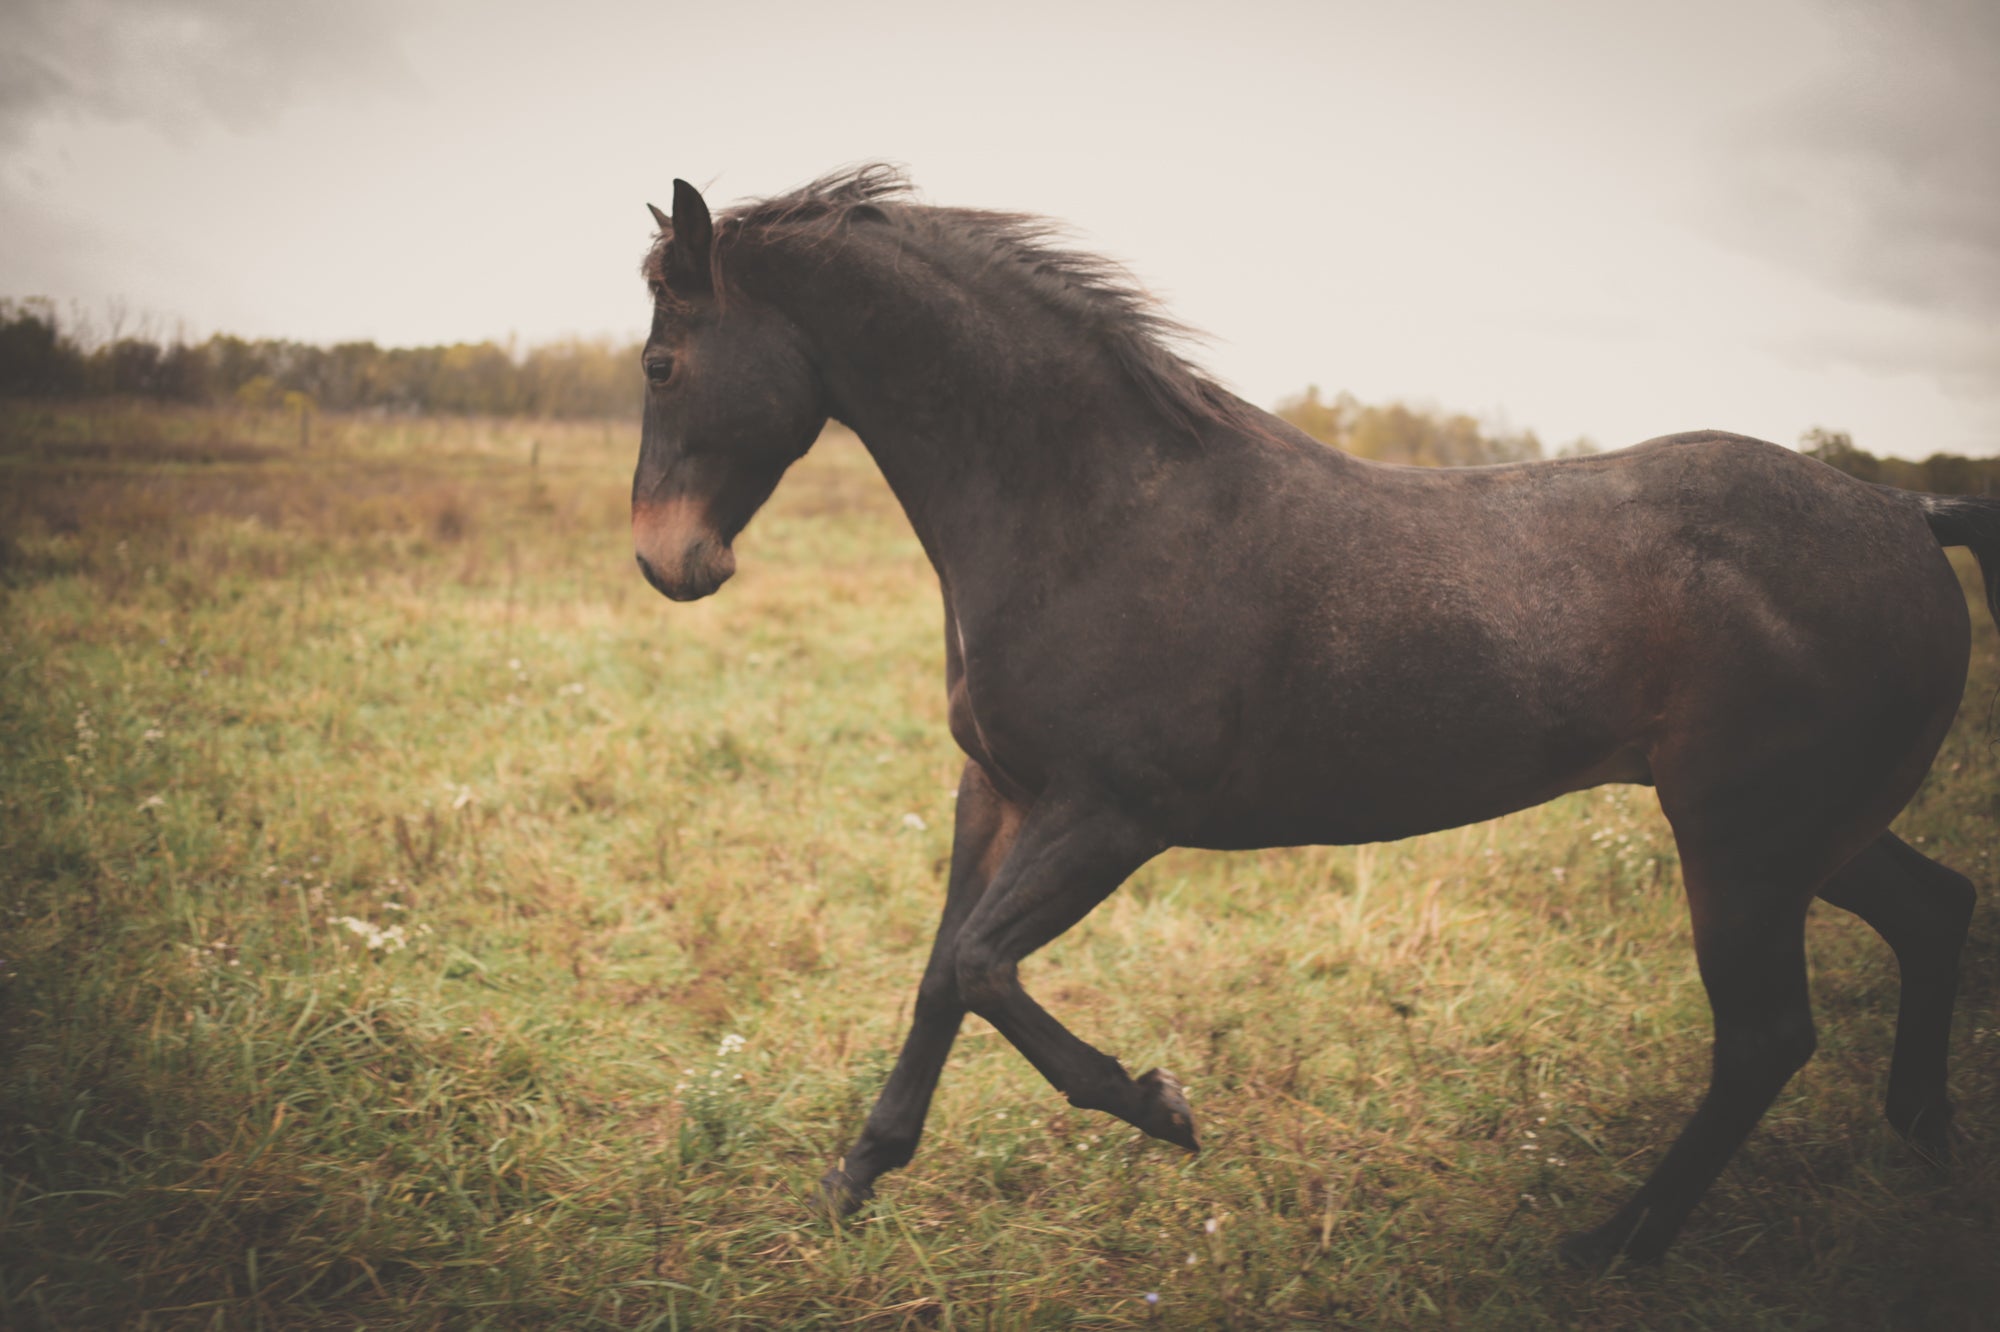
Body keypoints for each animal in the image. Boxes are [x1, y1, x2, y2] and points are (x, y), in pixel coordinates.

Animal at [629, 165, 1990, 1267]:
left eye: (657, 361)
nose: (663, 561)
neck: (1093, 508)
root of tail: (1903, 515)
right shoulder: (998, 793)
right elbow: (938, 975)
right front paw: (852, 1182)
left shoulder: (1112, 815)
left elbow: (978, 964)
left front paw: (1160, 1108)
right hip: (1805, 833)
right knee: (1932, 914)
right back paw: (1921, 1153)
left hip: (1741, 840)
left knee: (1764, 1035)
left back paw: (1609, 1248)